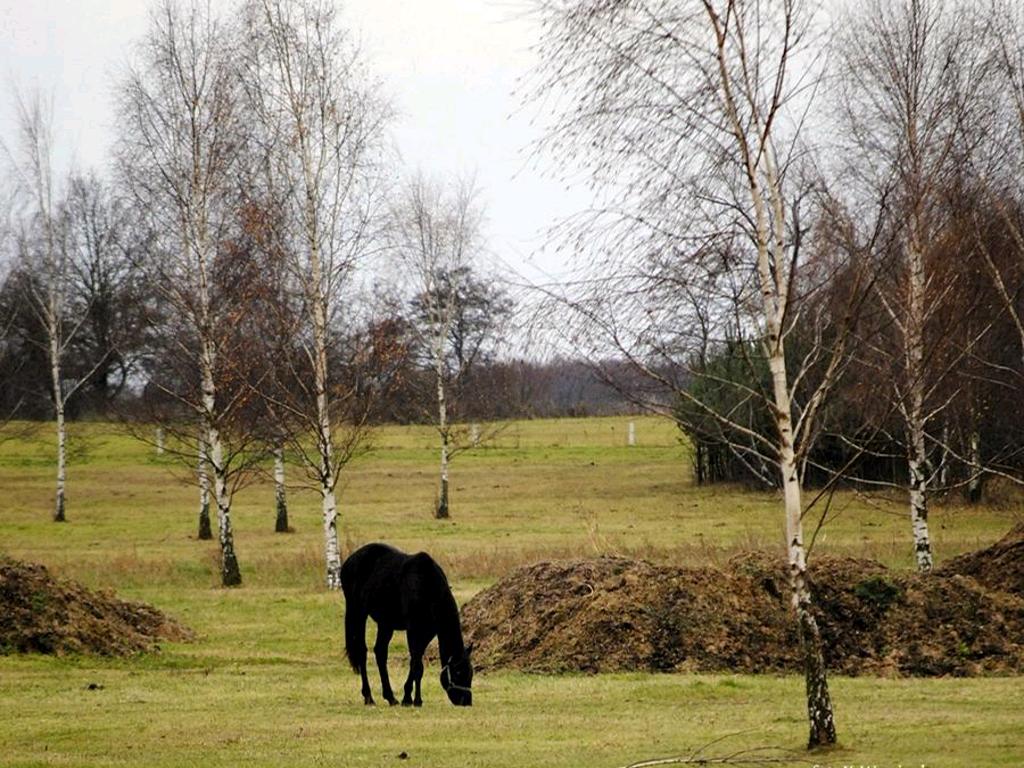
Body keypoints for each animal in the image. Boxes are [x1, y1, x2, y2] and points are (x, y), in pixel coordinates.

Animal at [342, 544, 473, 708]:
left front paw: (409, 697)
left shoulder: (427, 633)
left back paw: (390, 697)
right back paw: (369, 697)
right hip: (358, 613)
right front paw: (414, 700)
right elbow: (417, 666)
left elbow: (415, 663)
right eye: (458, 673)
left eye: (471, 673)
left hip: (386, 623)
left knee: (380, 652)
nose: (466, 701)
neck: (427, 586)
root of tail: (348, 562)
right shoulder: (413, 631)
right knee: (362, 652)